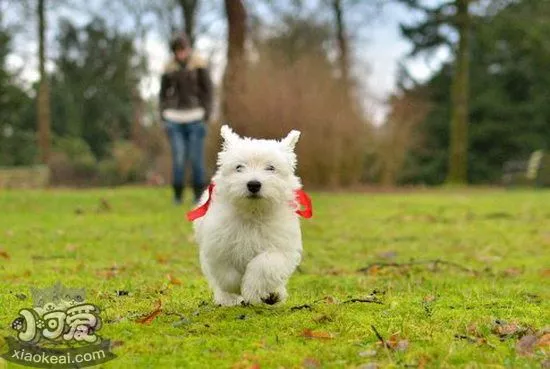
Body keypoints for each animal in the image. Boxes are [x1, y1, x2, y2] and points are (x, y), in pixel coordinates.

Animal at [189, 125, 310, 306]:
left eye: (270, 167)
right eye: (239, 167)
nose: (253, 184)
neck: (252, 213)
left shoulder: (279, 247)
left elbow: (263, 265)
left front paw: (252, 289)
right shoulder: (219, 246)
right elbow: (228, 275)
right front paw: (237, 289)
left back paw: (274, 294)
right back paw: (227, 299)